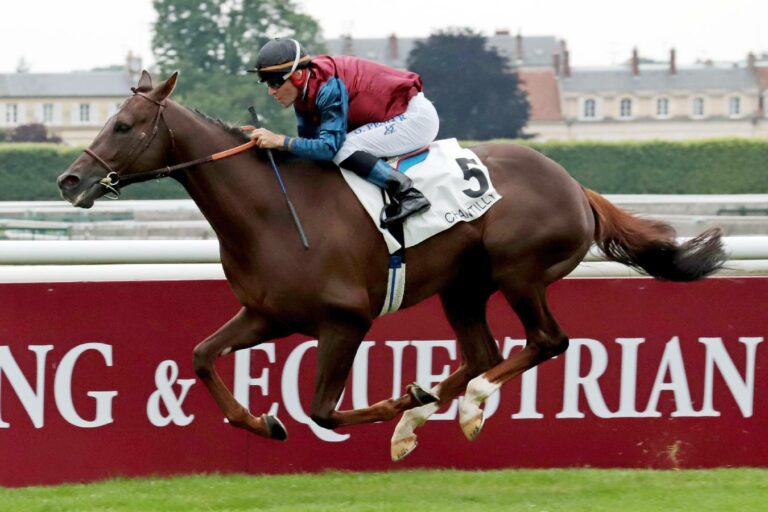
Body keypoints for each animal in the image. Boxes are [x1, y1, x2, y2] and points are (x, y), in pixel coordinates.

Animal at [57, 71, 726, 460]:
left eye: (124, 125)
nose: (70, 180)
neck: (271, 210)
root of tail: (574, 183)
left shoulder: (345, 320)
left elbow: (322, 409)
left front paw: (393, 404)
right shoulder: (268, 314)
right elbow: (200, 356)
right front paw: (261, 421)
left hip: (519, 272)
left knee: (545, 342)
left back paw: (465, 407)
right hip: (464, 286)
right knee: (483, 353)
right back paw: (426, 416)